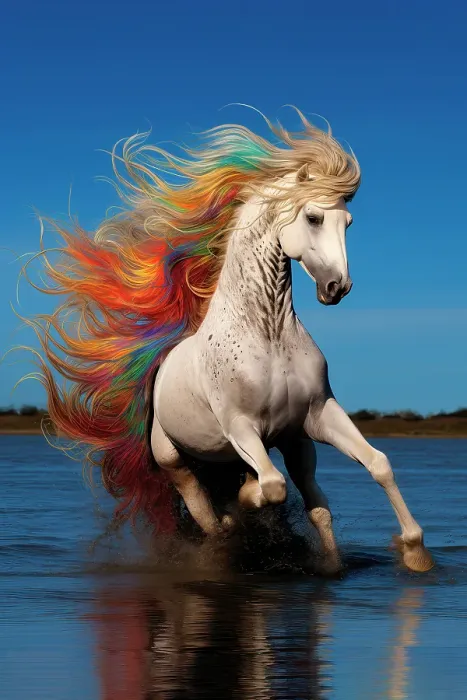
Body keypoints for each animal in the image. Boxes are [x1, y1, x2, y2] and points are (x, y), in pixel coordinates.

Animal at [24, 109, 433, 574]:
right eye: (313, 218)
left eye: (347, 222)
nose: (337, 287)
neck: (269, 336)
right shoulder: (240, 425)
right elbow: (270, 486)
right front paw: (244, 502)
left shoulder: (316, 416)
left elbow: (378, 464)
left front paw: (416, 552)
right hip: (176, 459)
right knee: (206, 511)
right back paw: (224, 530)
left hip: (292, 446)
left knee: (315, 504)